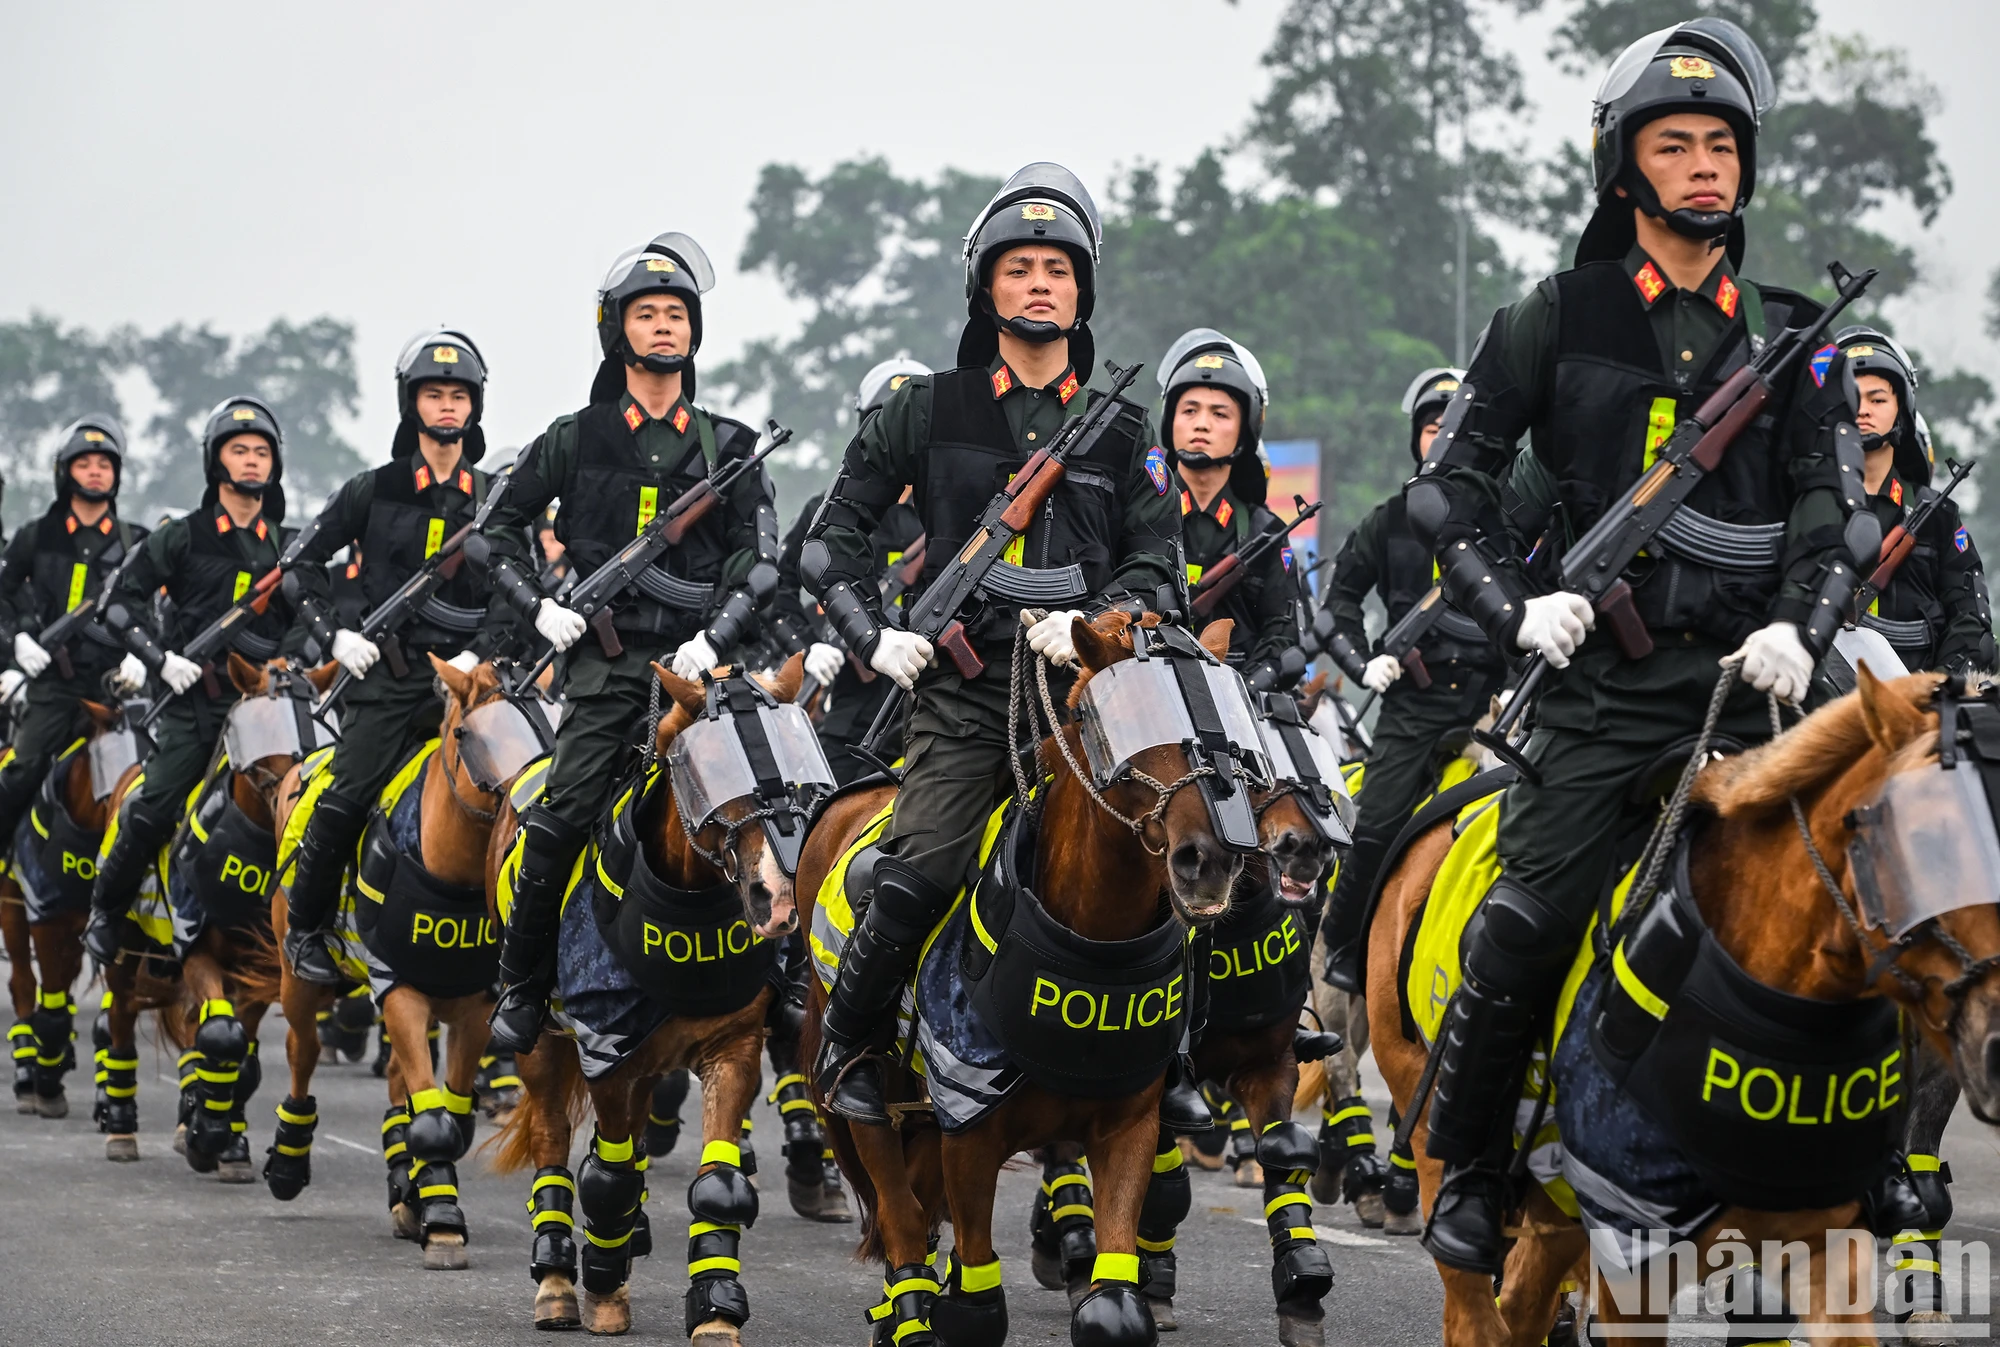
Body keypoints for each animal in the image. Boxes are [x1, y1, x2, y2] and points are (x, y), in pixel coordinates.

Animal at [268, 655, 540, 1263]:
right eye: (469, 735)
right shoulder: (397, 988)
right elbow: (435, 1120)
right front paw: (442, 1219)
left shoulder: (473, 1007)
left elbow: (451, 1117)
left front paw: (424, 1196)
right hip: (298, 981)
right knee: (303, 1049)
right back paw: (289, 1157)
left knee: (397, 1082)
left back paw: (403, 1179)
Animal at [496, 651, 808, 1335]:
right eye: (707, 770)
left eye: (801, 762)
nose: (778, 899)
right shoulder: (605, 1054)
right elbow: (608, 1176)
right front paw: (603, 1285)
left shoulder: (732, 1047)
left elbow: (719, 1182)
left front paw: (715, 1307)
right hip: (544, 1046)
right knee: (553, 1141)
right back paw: (558, 1278)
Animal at [792, 615, 1248, 1343]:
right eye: (1115, 720)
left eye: (1232, 721)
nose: (1208, 860)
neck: (1091, 943)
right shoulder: (969, 1135)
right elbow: (976, 1307)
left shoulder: (1127, 1129)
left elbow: (1115, 1307)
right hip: (874, 1095)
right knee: (898, 1207)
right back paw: (907, 1309)